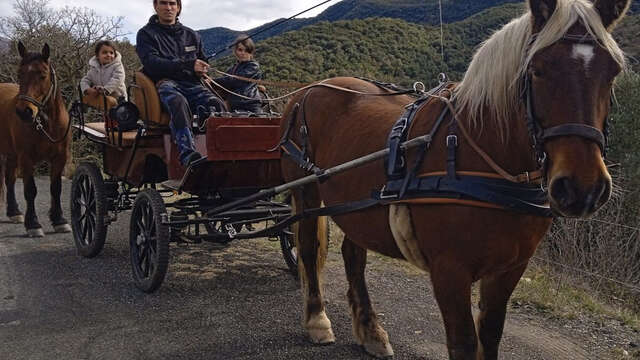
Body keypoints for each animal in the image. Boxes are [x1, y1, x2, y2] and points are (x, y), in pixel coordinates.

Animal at [0, 42, 72, 238]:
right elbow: (30, 190)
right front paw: (33, 224)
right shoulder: (26, 158)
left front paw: (59, 220)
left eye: (43, 75)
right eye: (20, 74)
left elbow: (56, 188)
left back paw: (14, 212)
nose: (24, 112)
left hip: (11, 155)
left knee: (9, 179)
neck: (47, 124)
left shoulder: (59, 158)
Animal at [282, 0, 632, 358]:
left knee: (354, 256)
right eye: (537, 69)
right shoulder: (449, 271)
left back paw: (370, 331)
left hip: (357, 205)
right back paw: (317, 320)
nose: (582, 188)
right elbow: (463, 342)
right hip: (305, 191)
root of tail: (308, 92)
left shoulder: (510, 269)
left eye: (612, 73)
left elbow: (490, 334)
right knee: (307, 247)